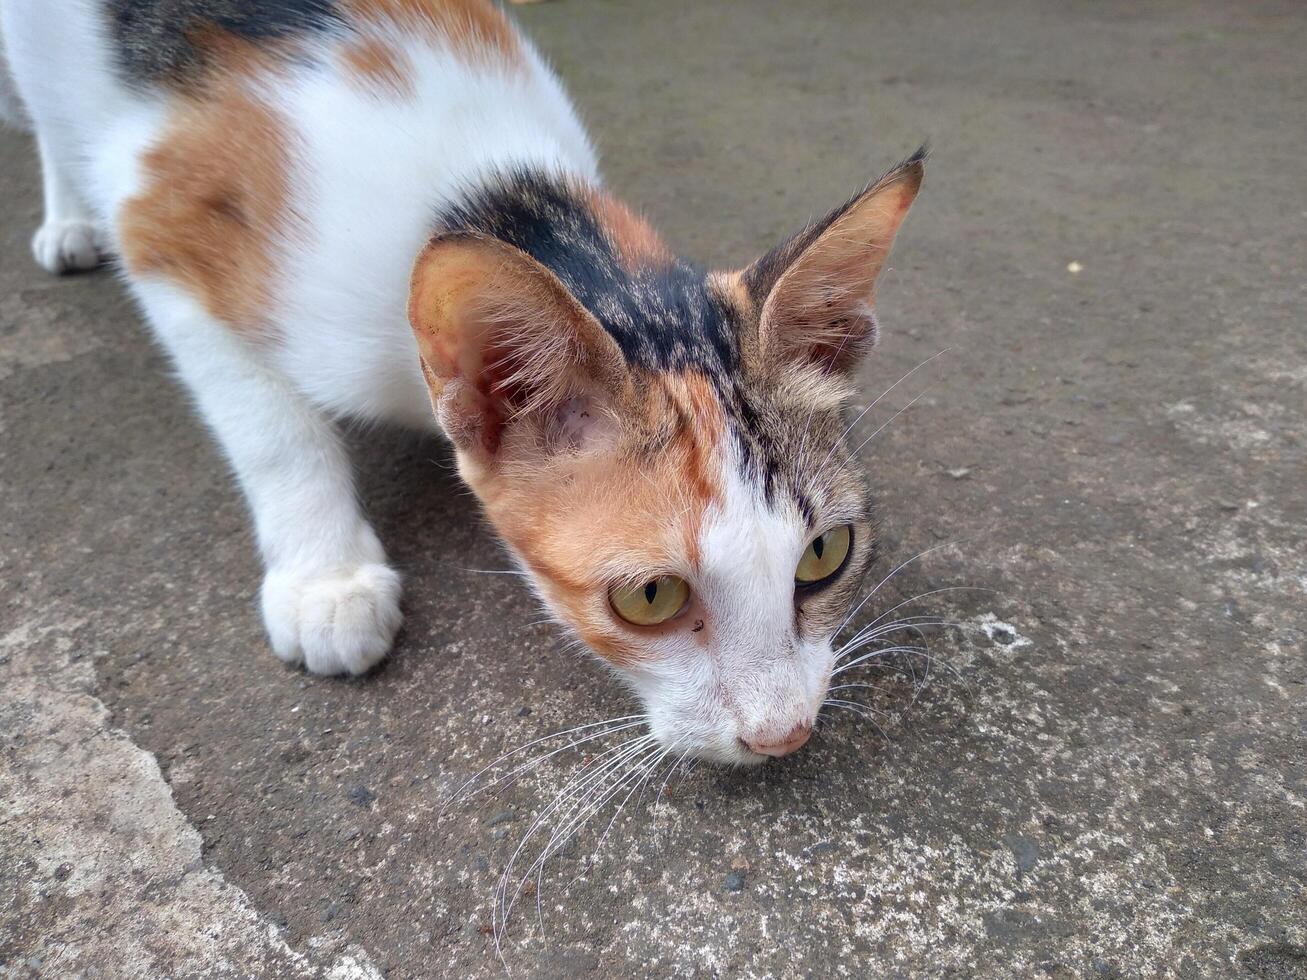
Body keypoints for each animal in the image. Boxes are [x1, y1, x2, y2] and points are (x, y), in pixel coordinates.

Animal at [0, 0, 925, 768]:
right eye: (650, 597)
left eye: (826, 554)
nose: (783, 733)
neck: (494, 195)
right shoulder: (162, 219)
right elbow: (269, 426)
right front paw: (326, 578)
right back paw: (68, 219)